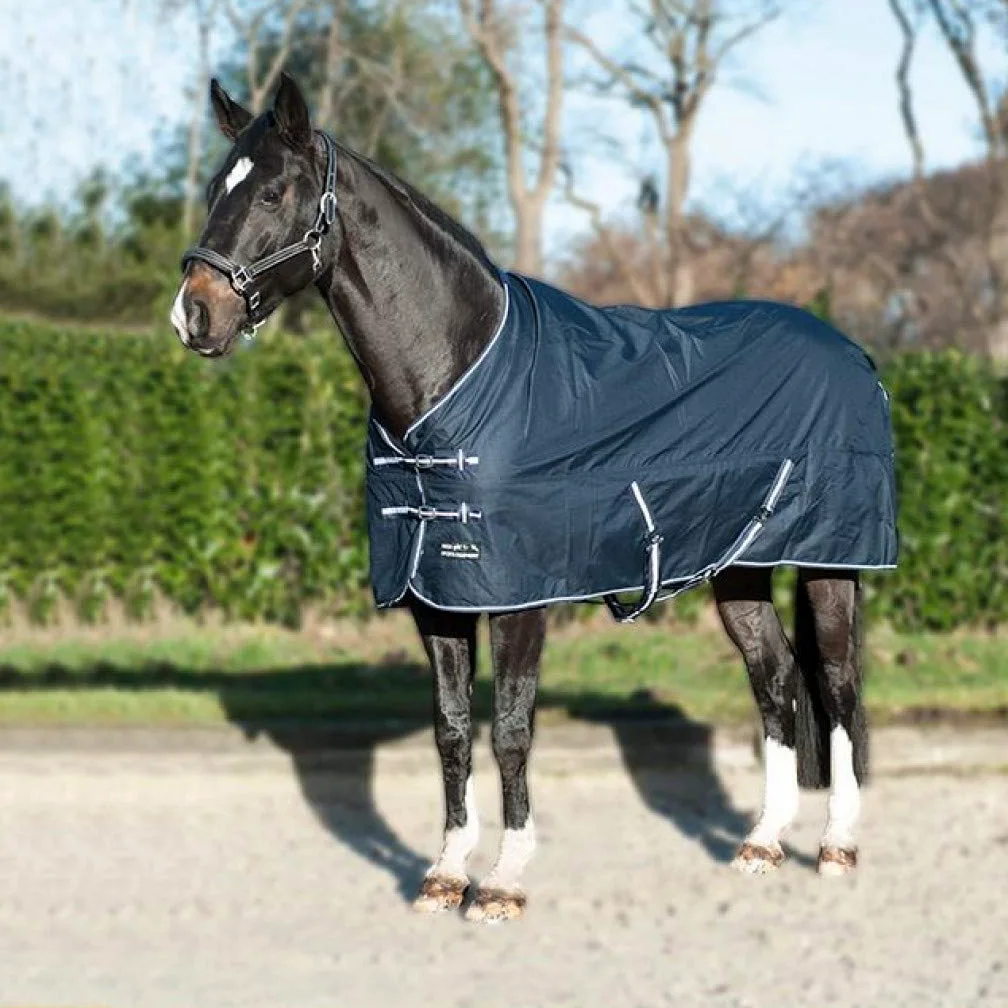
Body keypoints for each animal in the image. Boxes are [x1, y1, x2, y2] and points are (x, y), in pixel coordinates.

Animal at [171, 72, 893, 923]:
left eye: (274, 191)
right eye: (214, 190)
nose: (193, 313)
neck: (454, 375)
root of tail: (850, 350)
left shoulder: (519, 598)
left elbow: (511, 728)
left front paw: (503, 882)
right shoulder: (437, 596)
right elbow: (452, 730)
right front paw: (445, 873)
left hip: (829, 564)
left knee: (839, 688)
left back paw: (837, 845)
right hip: (741, 570)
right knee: (776, 681)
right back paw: (762, 843)